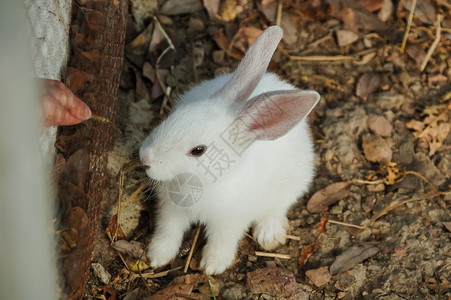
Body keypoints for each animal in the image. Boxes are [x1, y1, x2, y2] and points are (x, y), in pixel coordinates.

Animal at [139, 25, 320, 274]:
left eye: (198, 150)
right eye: (174, 116)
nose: (145, 158)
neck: (204, 183)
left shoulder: (230, 222)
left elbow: (221, 241)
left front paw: (212, 266)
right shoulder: (171, 212)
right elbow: (168, 232)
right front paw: (157, 257)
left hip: (291, 186)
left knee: (277, 209)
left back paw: (268, 234)